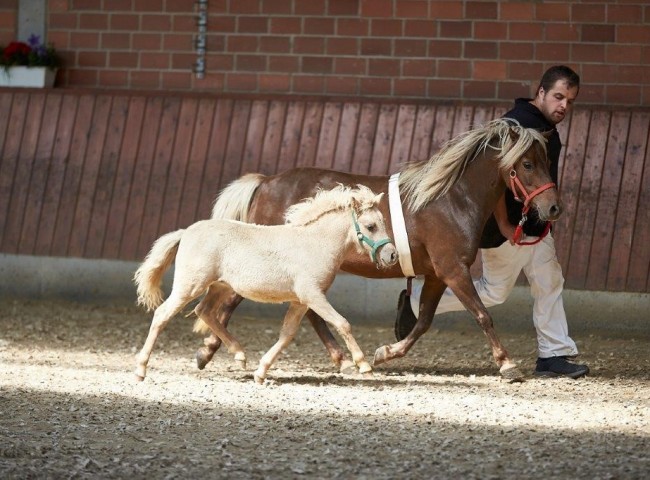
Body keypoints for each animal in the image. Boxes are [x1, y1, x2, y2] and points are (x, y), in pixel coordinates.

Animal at [133, 185, 398, 383]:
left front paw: (261, 372)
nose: (392, 256)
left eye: (383, 221)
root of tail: (185, 231)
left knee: (204, 311)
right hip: (189, 286)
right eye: (370, 226)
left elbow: (287, 334)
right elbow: (343, 323)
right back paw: (140, 370)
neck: (315, 243)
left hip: (219, 287)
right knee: (162, 314)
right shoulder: (313, 296)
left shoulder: (301, 302)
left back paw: (240, 355)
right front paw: (363, 365)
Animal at [194, 118, 560, 380]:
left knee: (308, 312)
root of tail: (266, 183)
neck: (451, 198)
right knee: (234, 302)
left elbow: (423, 321)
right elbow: (482, 314)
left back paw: (340, 359)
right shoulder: (453, 269)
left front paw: (385, 353)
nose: (553, 208)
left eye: (547, 160)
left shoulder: (437, 275)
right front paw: (507, 364)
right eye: (528, 164)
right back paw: (211, 351)